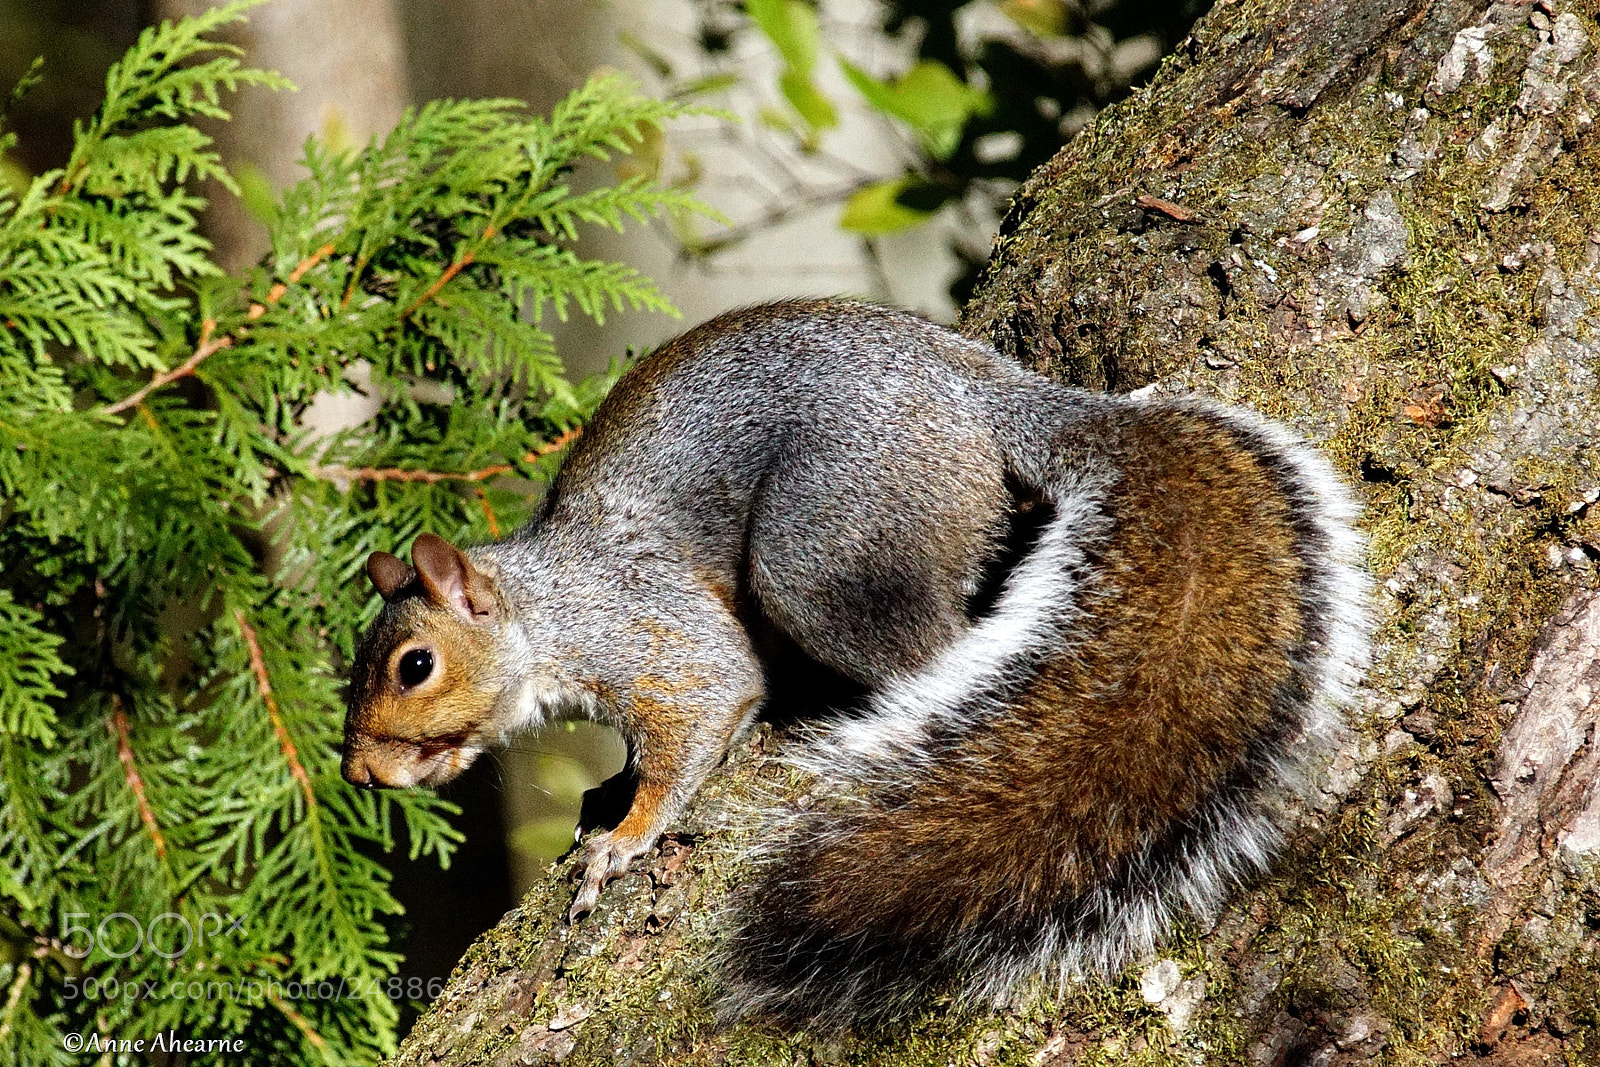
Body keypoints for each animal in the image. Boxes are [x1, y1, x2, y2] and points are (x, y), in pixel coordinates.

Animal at [341, 298, 1368, 1031]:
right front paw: (610, 796)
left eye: (415, 665)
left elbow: (708, 702)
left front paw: (623, 839)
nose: (357, 771)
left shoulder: (645, 628)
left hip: (828, 543)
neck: (548, 605)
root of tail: (978, 394)